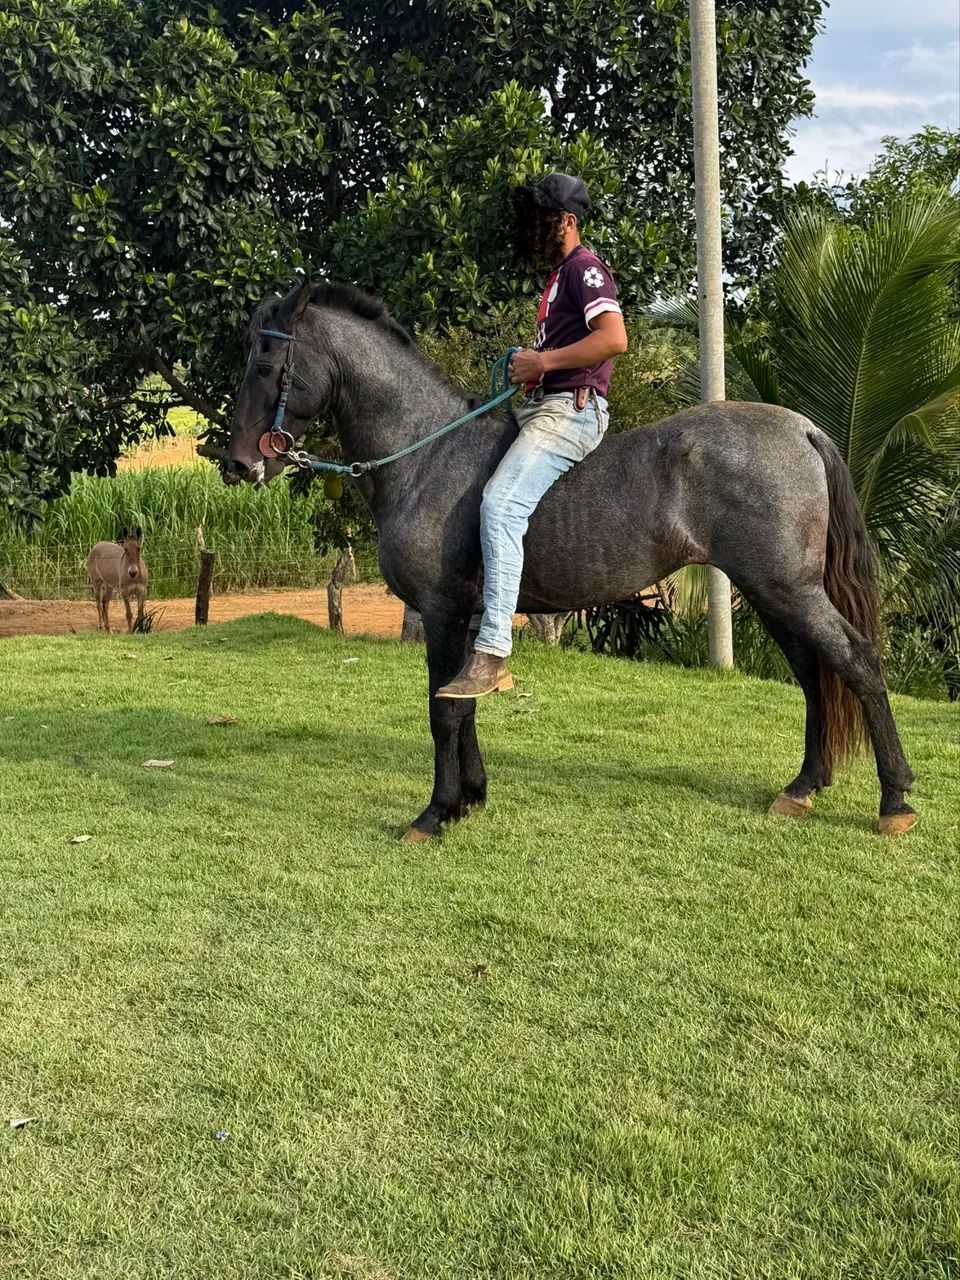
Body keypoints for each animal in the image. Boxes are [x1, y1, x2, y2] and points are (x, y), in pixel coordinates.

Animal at [227, 281, 917, 840]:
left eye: (266, 363)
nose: (238, 464)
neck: (429, 454)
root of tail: (802, 428)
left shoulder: (444, 612)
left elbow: (444, 711)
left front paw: (436, 812)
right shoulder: (471, 617)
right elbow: (467, 703)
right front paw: (470, 798)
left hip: (788, 589)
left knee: (856, 661)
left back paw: (895, 800)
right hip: (773, 592)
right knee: (813, 673)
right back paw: (802, 787)